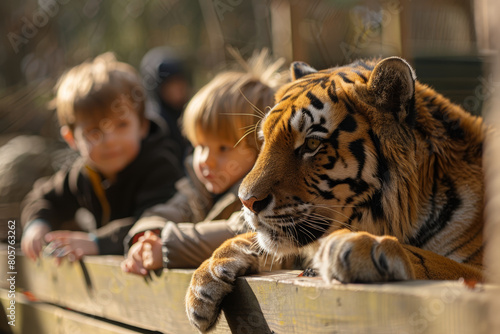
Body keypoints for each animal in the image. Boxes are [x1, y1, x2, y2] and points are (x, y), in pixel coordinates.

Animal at [184, 56, 484, 332]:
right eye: (264, 139)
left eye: (311, 144)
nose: (246, 201)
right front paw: (204, 281)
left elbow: (439, 263)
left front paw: (360, 247)